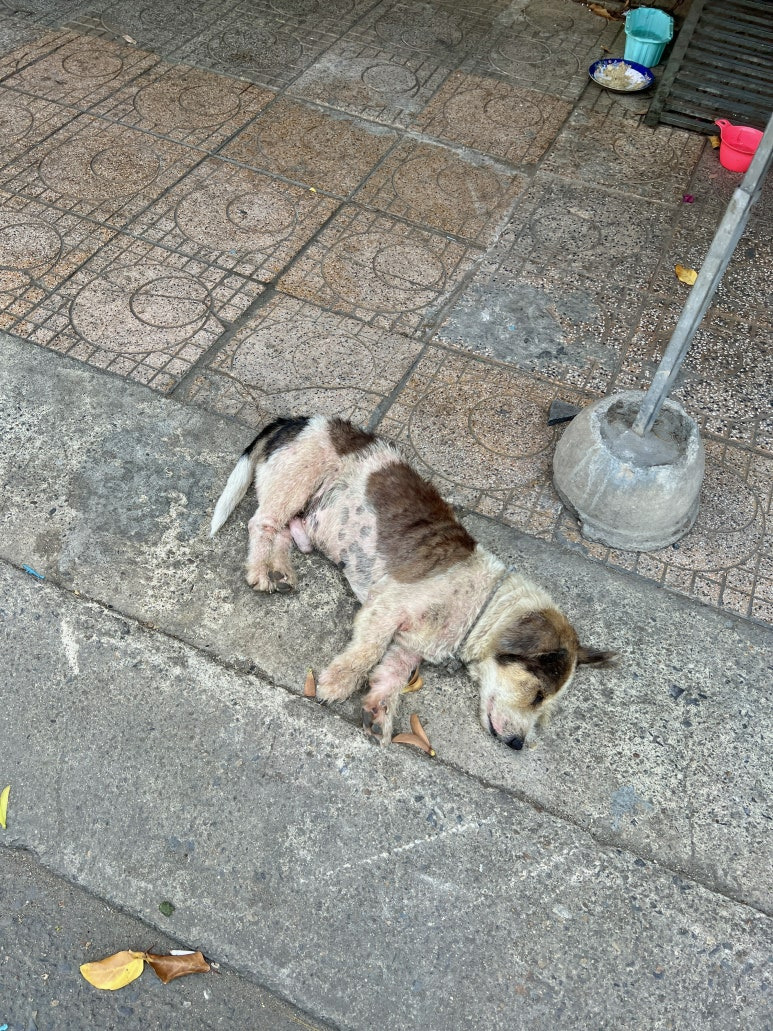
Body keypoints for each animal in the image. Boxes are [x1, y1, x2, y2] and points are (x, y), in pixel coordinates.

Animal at [210, 415, 615, 749]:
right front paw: (337, 683)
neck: (480, 605)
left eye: (544, 707)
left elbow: (392, 675)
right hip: (294, 482)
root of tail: (300, 419)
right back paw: (261, 569)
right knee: (262, 523)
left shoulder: (407, 648)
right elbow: (366, 654)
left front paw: (380, 712)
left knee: (284, 530)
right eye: (537, 695)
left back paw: (280, 569)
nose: (517, 745)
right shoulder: (384, 610)